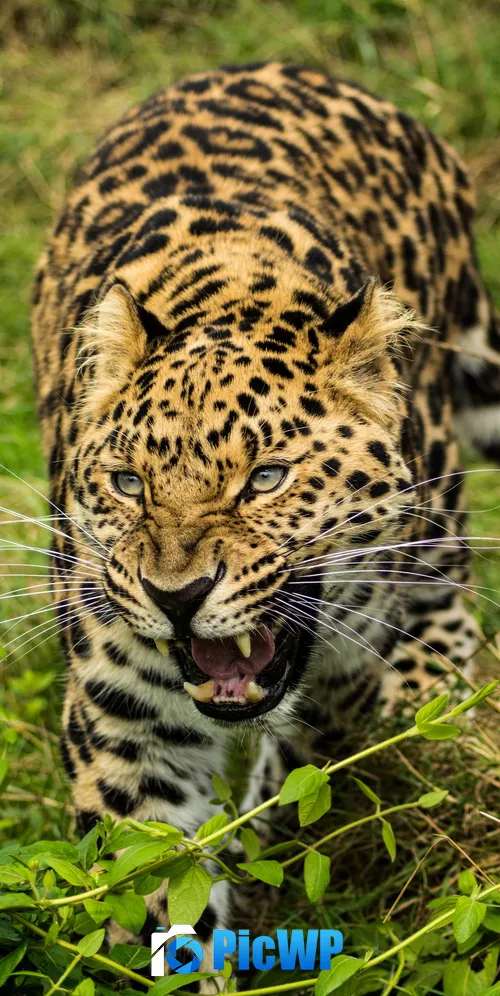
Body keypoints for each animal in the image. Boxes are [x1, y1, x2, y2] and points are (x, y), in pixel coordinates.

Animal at [31, 62, 500, 991]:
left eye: (266, 480)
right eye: (129, 484)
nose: (176, 597)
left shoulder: (349, 648)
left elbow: (323, 738)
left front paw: (272, 832)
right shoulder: (127, 729)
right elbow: (157, 898)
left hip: (440, 476)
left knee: (447, 598)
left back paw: (431, 715)